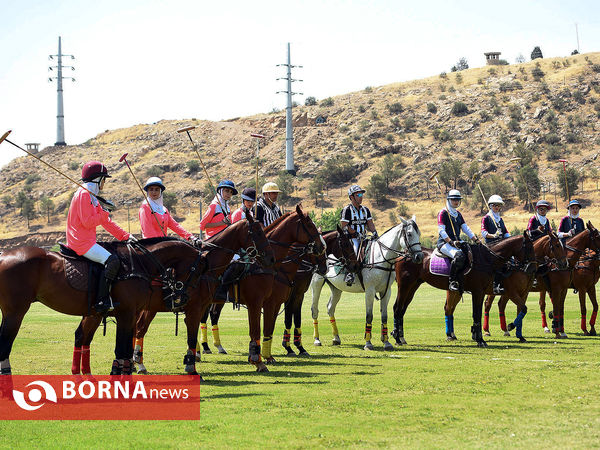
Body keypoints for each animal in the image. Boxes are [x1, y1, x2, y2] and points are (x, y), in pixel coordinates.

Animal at [69, 213, 272, 374]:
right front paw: (258, 361)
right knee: (129, 330)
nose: (269, 257)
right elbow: (252, 329)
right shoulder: (209, 306)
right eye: (258, 232)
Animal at [280, 227, 358, 356]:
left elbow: (297, 318)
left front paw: (299, 347)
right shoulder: (289, 296)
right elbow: (288, 319)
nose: (355, 265)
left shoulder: (299, 294)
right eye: (345, 244)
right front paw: (288, 347)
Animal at [312, 216, 424, 350]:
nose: (419, 257)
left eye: (419, 234)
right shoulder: (370, 291)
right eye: (409, 234)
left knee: (330, 308)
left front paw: (386, 342)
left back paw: (336, 338)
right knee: (314, 309)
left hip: (336, 288)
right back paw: (317, 339)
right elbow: (369, 316)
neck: (382, 258)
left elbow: (384, 316)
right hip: (317, 282)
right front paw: (368, 343)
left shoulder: (386, 291)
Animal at [392, 234, 536, 350]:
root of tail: (403, 254)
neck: (486, 259)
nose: (531, 268)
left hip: (413, 286)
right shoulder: (479, 292)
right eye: (529, 248)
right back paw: (397, 338)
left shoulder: (483, 292)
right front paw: (481, 340)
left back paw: (401, 337)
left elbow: (478, 314)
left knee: (403, 309)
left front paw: (479, 337)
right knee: (397, 308)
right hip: (404, 286)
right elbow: (477, 315)